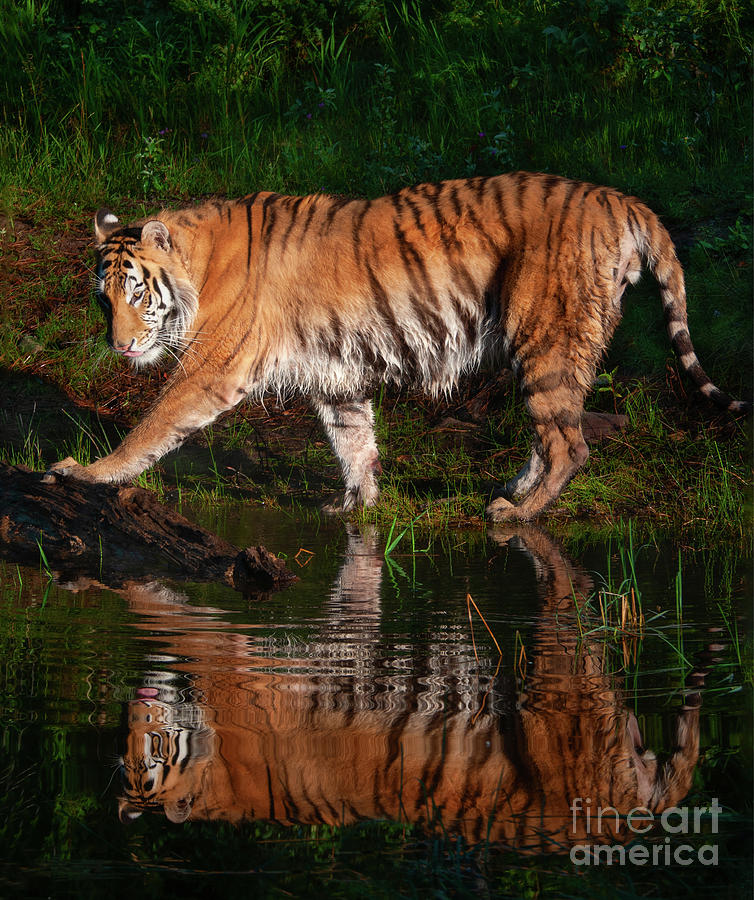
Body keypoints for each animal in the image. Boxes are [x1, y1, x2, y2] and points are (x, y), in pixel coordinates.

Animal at [44, 173, 744, 520]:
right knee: (556, 432)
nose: (119, 347)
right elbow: (354, 443)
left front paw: (87, 473)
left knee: (571, 445)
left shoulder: (210, 369)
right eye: (102, 299)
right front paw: (354, 505)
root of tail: (619, 197)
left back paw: (516, 514)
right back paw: (514, 491)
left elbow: (151, 427)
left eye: (136, 294)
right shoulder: (337, 376)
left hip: (544, 335)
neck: (200, 261)